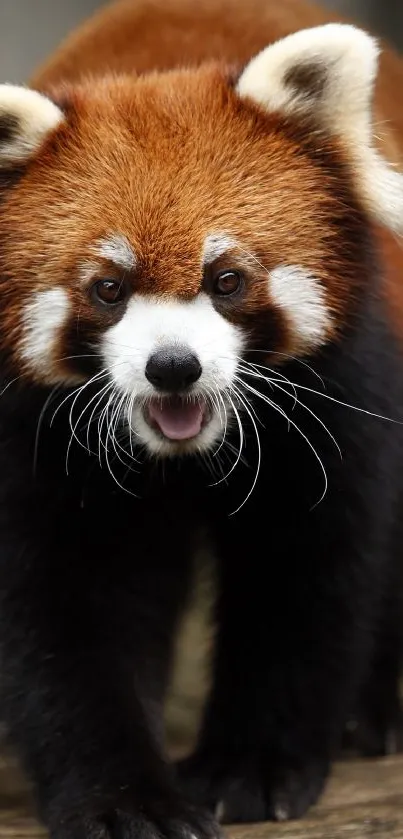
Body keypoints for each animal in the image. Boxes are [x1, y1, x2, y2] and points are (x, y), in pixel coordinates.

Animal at [0, 0, 403, 836]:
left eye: (226, 279)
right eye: (108, 288)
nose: (173, 366)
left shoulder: (341, 384)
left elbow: (307, 572)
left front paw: (248, 765)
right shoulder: (34, 431)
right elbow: (67, 605)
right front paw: (125, 798)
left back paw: (373, 710)